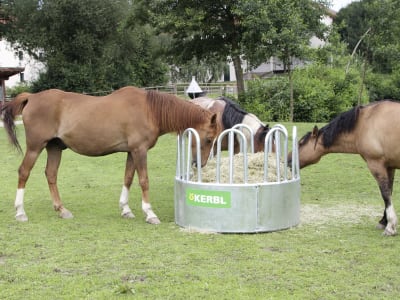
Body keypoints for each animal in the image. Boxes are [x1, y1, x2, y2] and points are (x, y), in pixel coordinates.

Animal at [0, 85, 219, 224]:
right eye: (209, 139)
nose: (199, 164)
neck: (149, 110)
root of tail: (32, 97)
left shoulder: (132, 152)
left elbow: (128, 178)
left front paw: (126, 209)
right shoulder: (139, 151)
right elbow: (144, 180)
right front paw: (149, 213)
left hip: (54, 148)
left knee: (51, 174)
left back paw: (62, 210)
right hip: (35, 147)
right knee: (24, 172)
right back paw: (20, 212)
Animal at [290, 101, 400, 237]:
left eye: (300, 143)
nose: (287, 160)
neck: (364, 123)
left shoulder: (377, 165)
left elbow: (385, 194)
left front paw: (390, 226)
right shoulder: (389, 167)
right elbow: (389, 193)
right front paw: (384, 221)